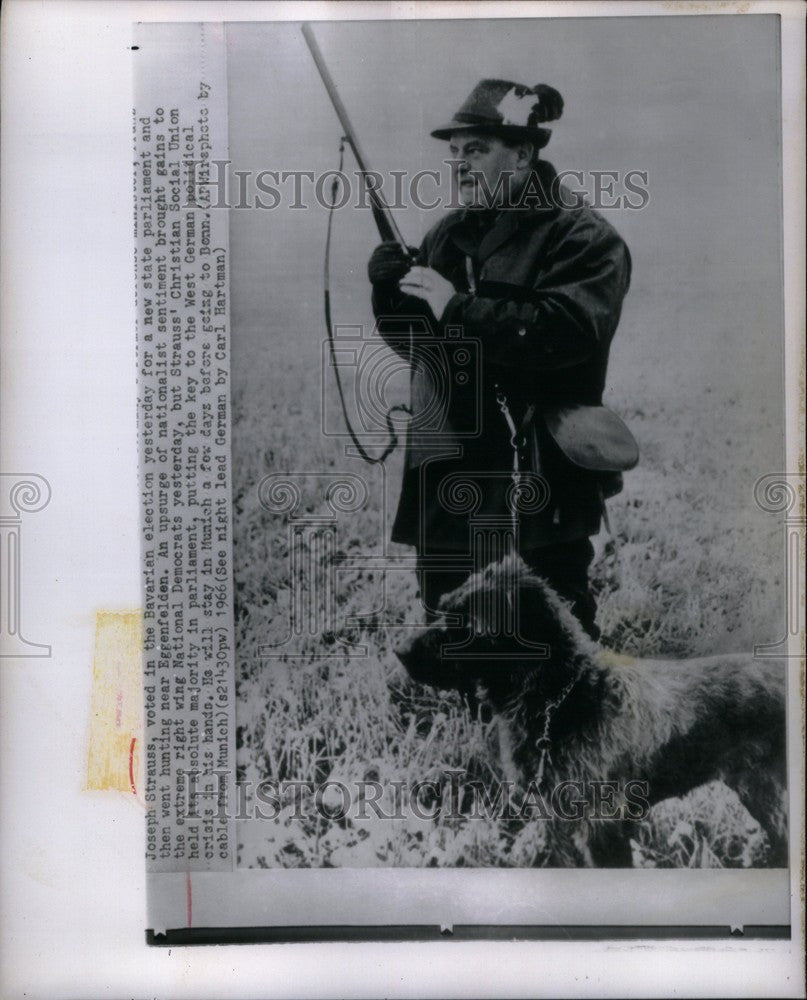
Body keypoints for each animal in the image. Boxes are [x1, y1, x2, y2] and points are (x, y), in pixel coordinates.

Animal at [398, 556, 788, 868]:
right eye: (444, 608)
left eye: (465, 621)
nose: (399, 651)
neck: (560, 699)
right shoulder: (556, 820)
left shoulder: (601, 824)